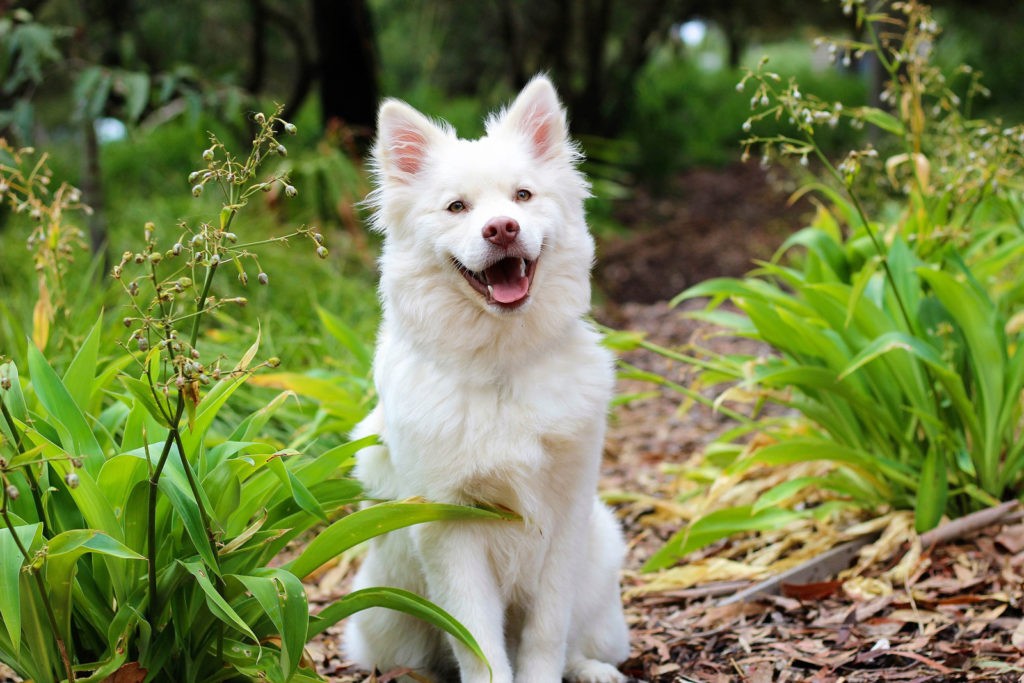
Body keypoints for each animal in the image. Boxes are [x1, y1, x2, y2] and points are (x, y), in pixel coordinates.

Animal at [344, 76, 626, 683]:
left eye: (522, 196)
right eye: (457, 207)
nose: (502, 229)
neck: (502, 368)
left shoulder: (565, 517)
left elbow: (546, 634)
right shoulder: (450, 528)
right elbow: (478, 644)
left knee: (578, 641)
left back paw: (592, 668)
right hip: (383, 612)